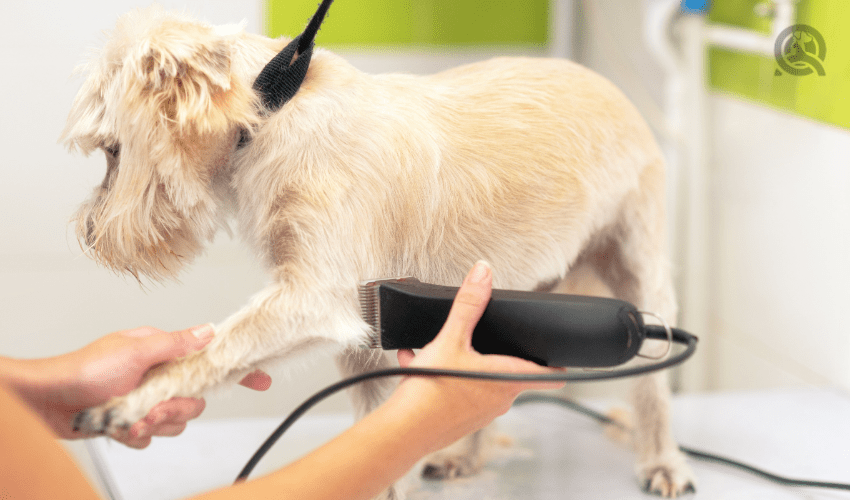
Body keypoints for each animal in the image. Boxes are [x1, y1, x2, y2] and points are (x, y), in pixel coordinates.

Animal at [63, 5, 692, 498]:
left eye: (113, 150)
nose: (89, 234)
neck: (269, 111)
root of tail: (608, 84)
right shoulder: (364, 329)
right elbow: (373, 429)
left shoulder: (316, 297)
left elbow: (214, 348)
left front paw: (133, 397)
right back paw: (466, 454)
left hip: (638, 257)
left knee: (654, 381)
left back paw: (663, 459)